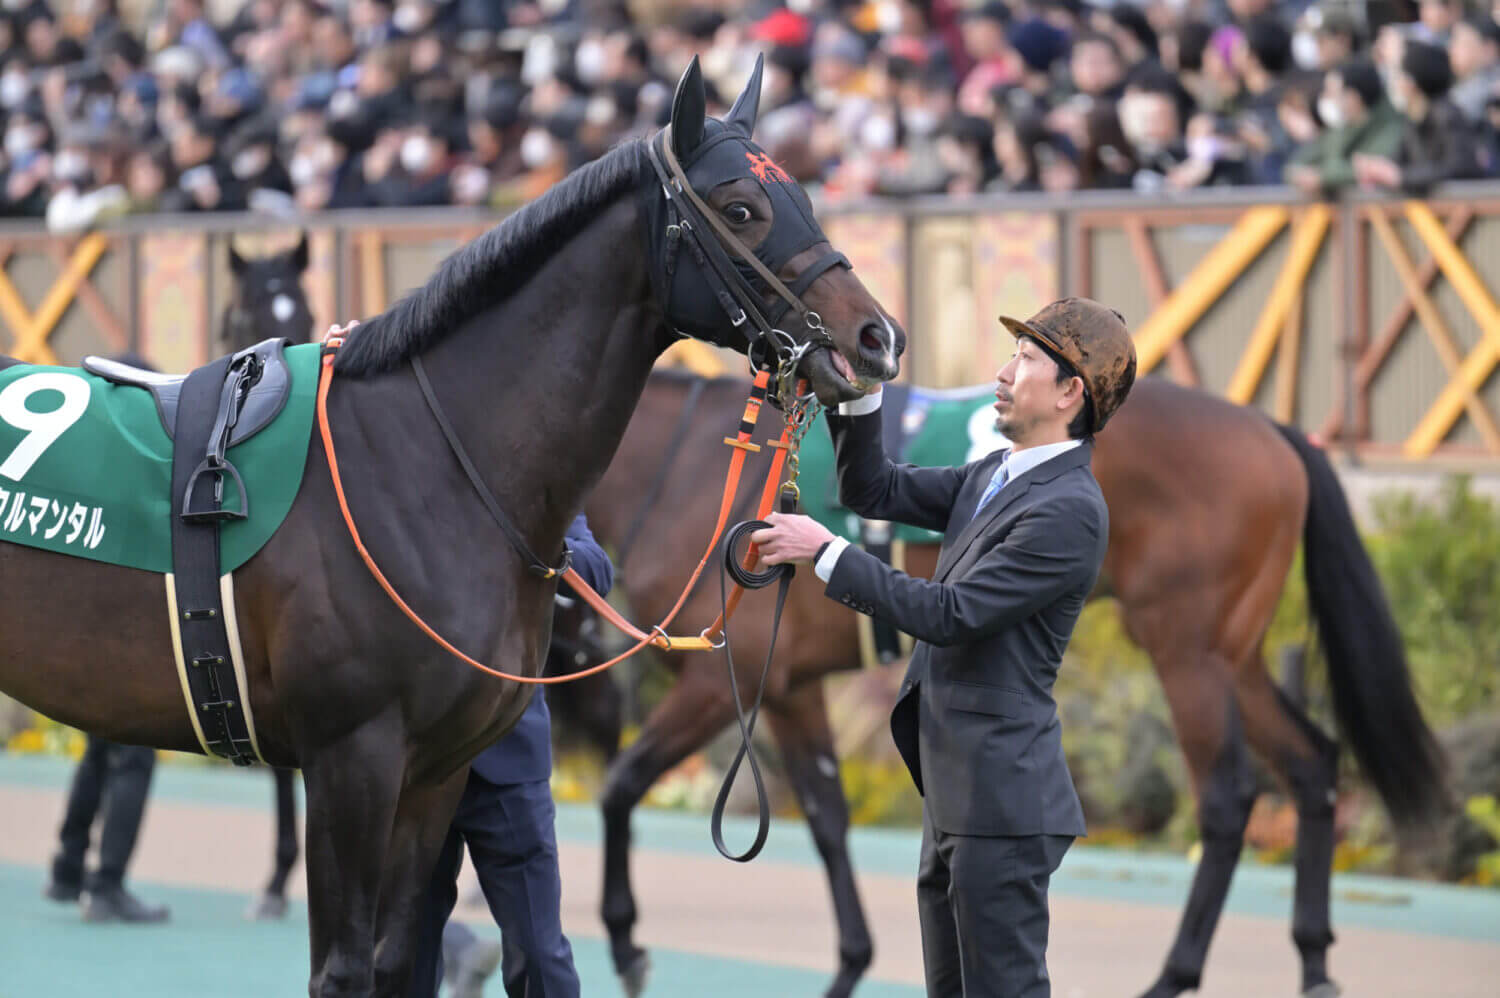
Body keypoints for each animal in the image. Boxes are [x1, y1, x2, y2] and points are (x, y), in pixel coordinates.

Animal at [0, 58, 900, 990]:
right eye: (742, 207)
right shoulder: (351, 759)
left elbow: (403, 956)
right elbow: (345, 968)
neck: (431, 460)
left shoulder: (435, 772)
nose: (875, 339)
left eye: (802, 193)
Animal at [567, 367, 1446, 996]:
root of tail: (1271, 426)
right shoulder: (787, 686)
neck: (685, 467)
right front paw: (850, 962)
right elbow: (825, 817)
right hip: (1236, 652)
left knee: (1229, 795)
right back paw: (1314, 960)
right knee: (1311, 762)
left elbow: (622, 783)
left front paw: (626, 939)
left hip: (1185, 648)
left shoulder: (728, 674)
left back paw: (1174, 975)